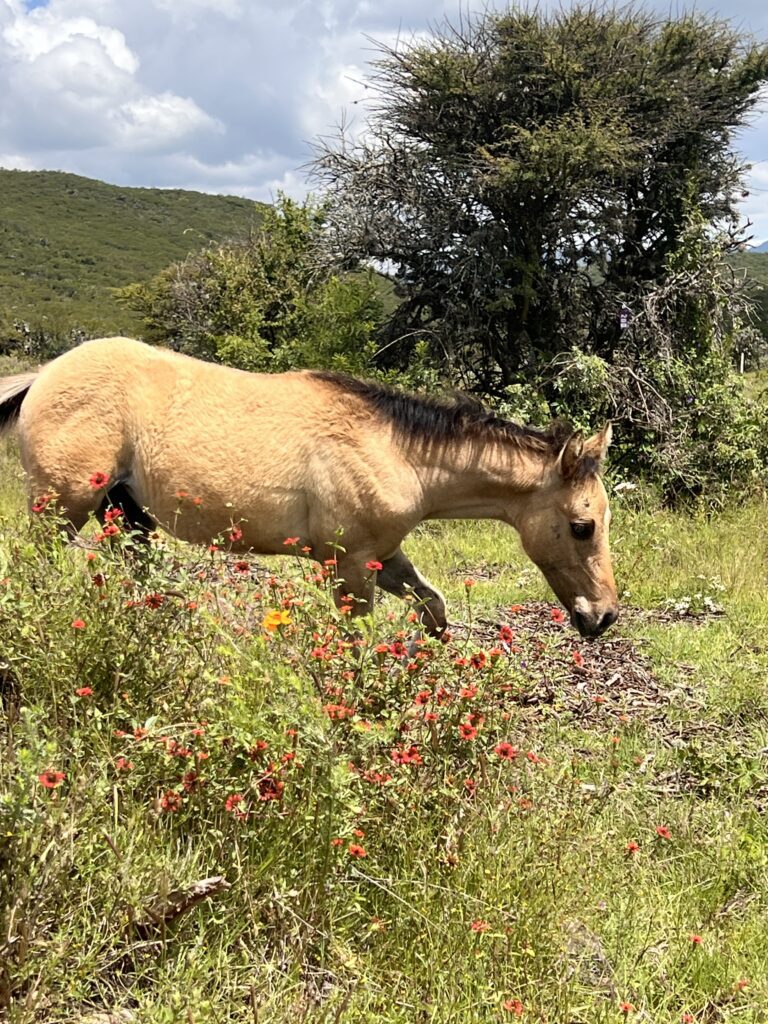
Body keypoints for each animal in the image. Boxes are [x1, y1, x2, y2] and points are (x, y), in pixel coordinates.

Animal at [0, 336, 619, 638]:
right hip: (62, 507)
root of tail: (43, 375)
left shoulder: (382, 556)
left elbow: (434, 608)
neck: (397, 452)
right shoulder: (349, 567)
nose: (605, 616)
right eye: (581, 526)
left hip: (126, 515)